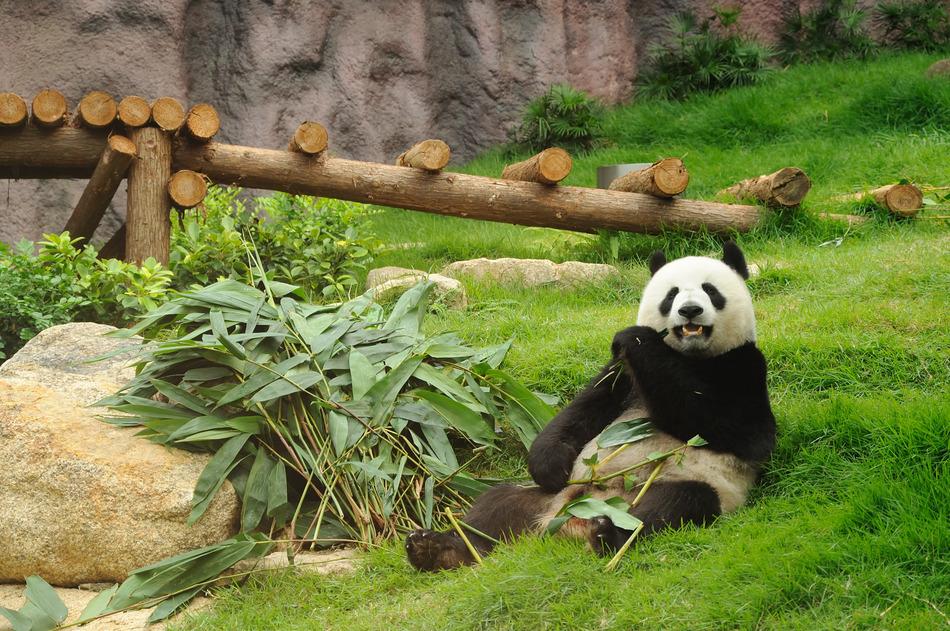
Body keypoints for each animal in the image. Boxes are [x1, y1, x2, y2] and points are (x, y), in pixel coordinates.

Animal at [406, 242, 776, 571]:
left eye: (710, 290)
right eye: (671, 295)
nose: (689, 311)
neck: (687, 356)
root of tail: (569, 523)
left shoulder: (742, 368)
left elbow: (735, 429)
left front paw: (639, 338)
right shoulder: (622, 376)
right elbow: (582, 411)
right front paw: (551, 466)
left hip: (686, 488)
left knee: (675, 505)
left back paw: (608, 536)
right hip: (541, 498)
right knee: (494, 507)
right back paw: (439, 549)